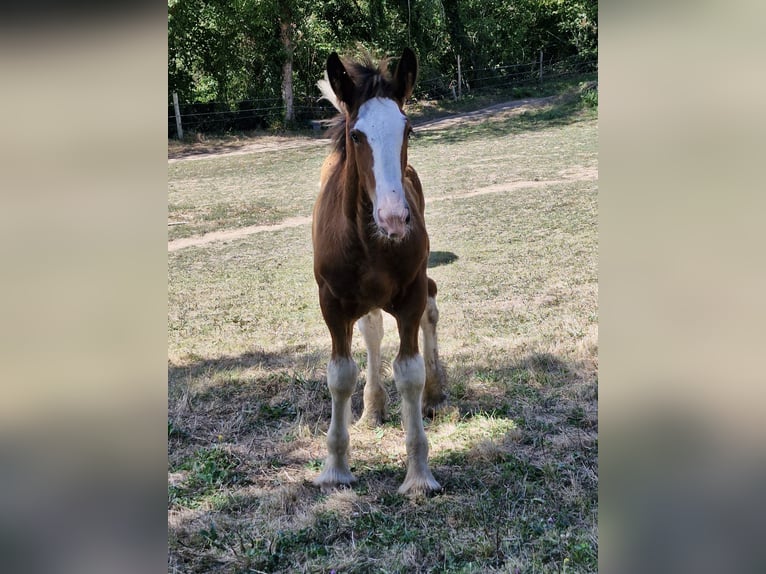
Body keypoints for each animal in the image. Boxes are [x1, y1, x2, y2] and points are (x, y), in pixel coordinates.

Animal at [310, 49, 448, 498]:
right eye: (357, 135)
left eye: (408, 129)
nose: (394, 218)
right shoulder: (332, 303)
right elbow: (340, 376)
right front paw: (335, 468)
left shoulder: (410, 294)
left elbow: (410, 372)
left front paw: (419, 475)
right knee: (371, 330)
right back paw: (372, 407)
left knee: (431, 310)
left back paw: (435, 394)